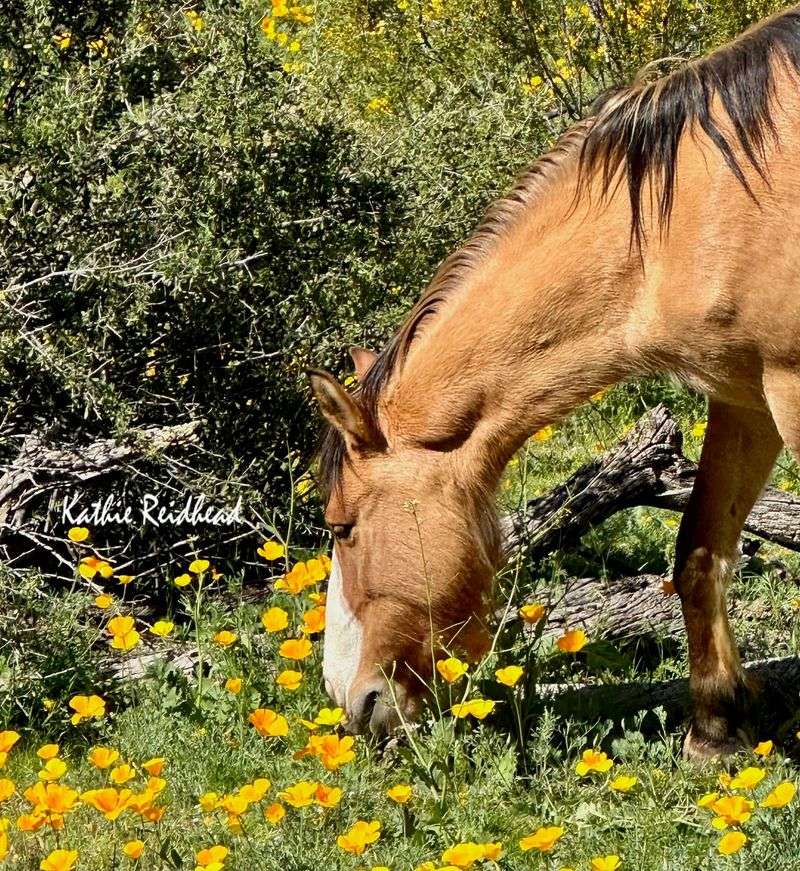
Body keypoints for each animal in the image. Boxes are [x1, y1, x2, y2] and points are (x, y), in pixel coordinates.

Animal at [304, 5, 800, 756]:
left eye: (342, 526)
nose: (349, 699)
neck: (702, 205)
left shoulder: (791, 389)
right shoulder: (745, 395)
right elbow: (698, 551)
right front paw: (716, 727)